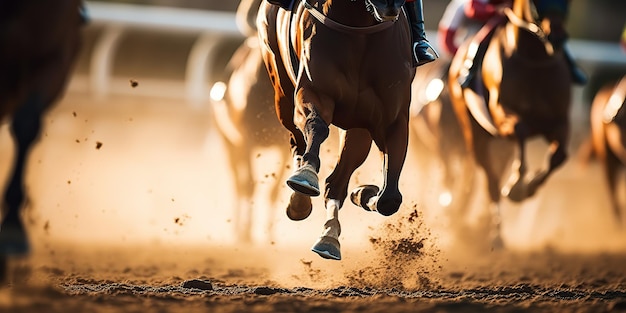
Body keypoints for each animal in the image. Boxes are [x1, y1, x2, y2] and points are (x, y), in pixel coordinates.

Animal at [256, 0, 416, 258]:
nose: (390, 6)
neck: (360, 30)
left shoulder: (392, 122)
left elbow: (389, 199)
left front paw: (363, 193)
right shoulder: (313, 92)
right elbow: (316, 125)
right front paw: (306, 176)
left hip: (357, 130)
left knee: (336, 182)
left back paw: (329, 236)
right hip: (282, 94)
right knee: (298, 143)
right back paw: (300, 201)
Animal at [446, 0, 572, 245]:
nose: (557, 36)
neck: (535, 59)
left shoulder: (560, 120)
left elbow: (560, 156)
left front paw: (531, 186)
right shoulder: (502, 115)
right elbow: (520, 128)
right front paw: (516, 185)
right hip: (474, 131)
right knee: (491, 182)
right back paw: (494, 233)